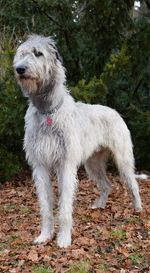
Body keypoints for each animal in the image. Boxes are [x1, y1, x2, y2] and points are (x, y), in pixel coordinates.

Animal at [13, 35, 142, 248]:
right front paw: (45, 235)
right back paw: (99, 205)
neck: (47, 111)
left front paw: (64, 238)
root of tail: (114, 111)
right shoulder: (40, 165)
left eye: (38, 53)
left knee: (132, 183)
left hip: (123, 158)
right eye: (21, 54)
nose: (19, 69)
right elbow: (45, 206)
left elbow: (65, 207)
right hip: (92, 163)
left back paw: (138, 207)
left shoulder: (65, 164)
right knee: (107, 184)